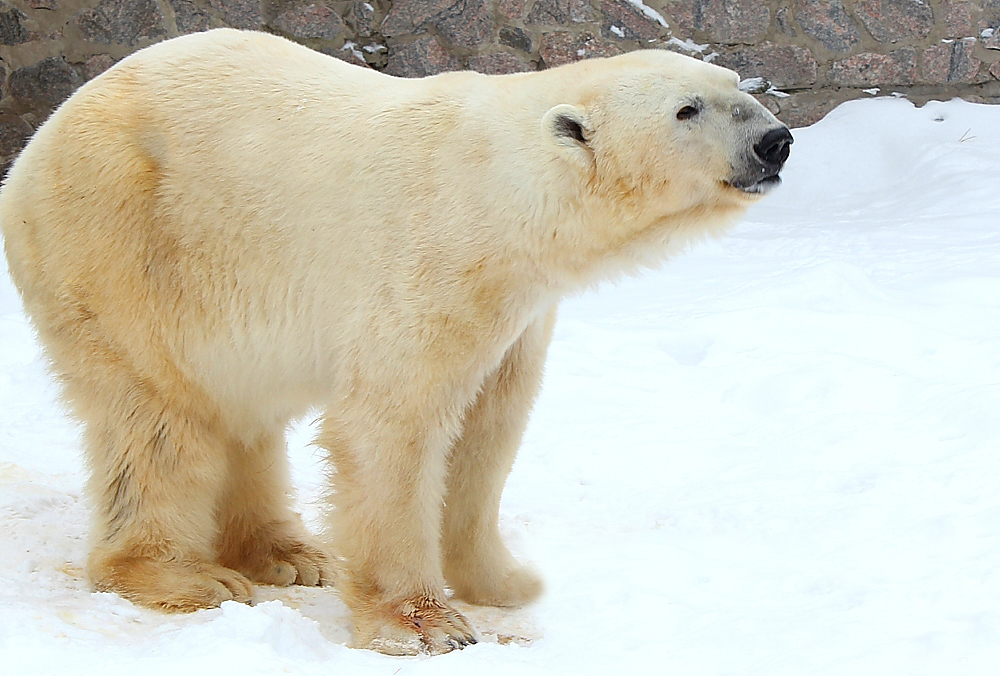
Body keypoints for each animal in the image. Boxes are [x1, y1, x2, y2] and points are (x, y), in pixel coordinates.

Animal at [0, 29, 788, 652]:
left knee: (243, 413)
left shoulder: (517, 310)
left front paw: (506, 580)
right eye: (687, 109)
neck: (500, 194)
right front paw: (423, 623)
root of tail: (38, 142)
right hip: (122, 246)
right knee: (159, 417)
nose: (775, 140)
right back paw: (186, 575)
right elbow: (395, 424)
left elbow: (488, 429)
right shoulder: (429, 260)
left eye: (735, 87)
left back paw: (288, 554)